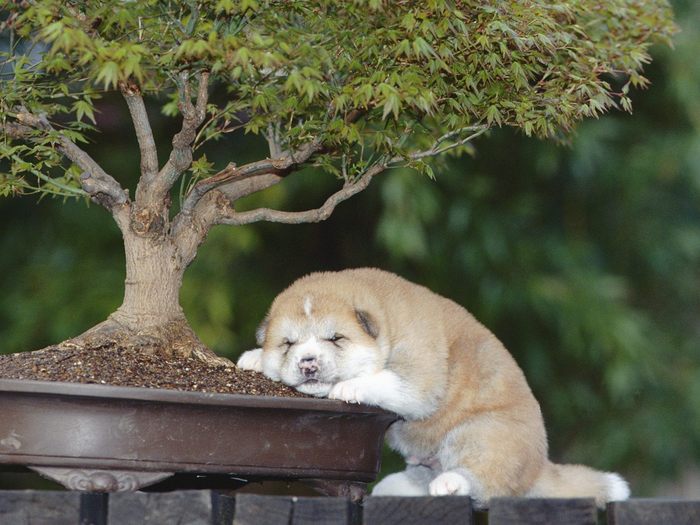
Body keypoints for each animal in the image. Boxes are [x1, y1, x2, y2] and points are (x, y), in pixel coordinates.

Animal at [238, 268, 632, 506]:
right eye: (288, 344)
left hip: (479, 435)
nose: (308, 363)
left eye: (335, 338)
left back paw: (450, 484)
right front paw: (253, 358)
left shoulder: (418, 378)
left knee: (482, 482)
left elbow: (384, 379)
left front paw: (347, 388)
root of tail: (539, 465)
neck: (387, 322)